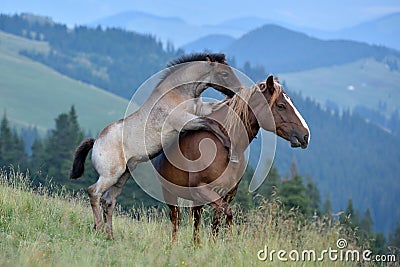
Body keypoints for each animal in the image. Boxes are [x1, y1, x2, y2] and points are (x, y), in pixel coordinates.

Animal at [70, 52, 242, 239]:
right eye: (224, 73)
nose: (239, 89)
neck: (177, 92)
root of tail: (96, 142)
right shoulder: (186, 120)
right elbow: (212, 124)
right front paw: (231, 149)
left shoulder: (201, 110)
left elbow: (215, 110)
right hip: (111, 175)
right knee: (94, 192)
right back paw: (99, 228)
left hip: (123, 175)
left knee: (108, 200)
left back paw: (110, 235)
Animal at [152, 75, 310, 243]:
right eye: (281, 106)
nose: (305, 135)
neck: (223, 144)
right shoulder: (202, 189)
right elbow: (227, 213)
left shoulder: (227, 193)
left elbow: (218, 221)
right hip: (170, 193)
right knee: (176, 220)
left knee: (195, 220)